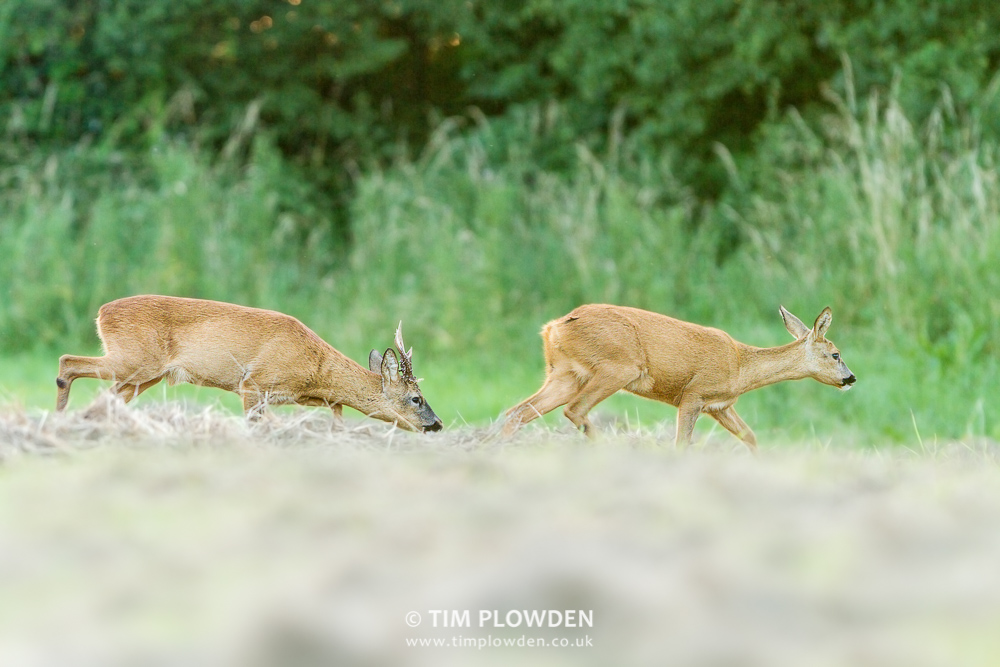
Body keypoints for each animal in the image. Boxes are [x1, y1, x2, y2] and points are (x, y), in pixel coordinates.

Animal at [55, 295, 443, 432]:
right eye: (416, 399)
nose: (437, 424)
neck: (315, 370)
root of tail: (102, 312)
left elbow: (337, 415)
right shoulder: (253, 383)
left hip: (142, 375)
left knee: (105, 397)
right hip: (134, 360)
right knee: (66, 361)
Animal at [501, 304, 855, 451]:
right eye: (836, 354)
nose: (850, 378)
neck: (741, 366)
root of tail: (553, 327)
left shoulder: (720, 406)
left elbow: (751, 437)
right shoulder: (694, 394)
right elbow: (682, 443)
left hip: (565, 373)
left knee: (516, 412)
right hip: (617, 367)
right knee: (574, 410)